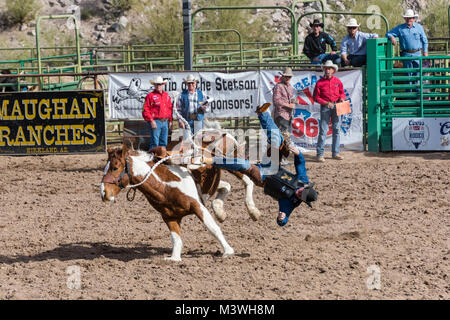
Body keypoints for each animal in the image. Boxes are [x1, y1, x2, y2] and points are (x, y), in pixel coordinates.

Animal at [100, 144, 236, 262]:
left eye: (115, 168)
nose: (103, 192)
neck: (165, 186)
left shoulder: (197, 206)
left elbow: (213, 228)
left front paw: (228, 251)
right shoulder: (169, 216)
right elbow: (176, 238)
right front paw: (174, 258)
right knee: (226, 186)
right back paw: (220, 211)